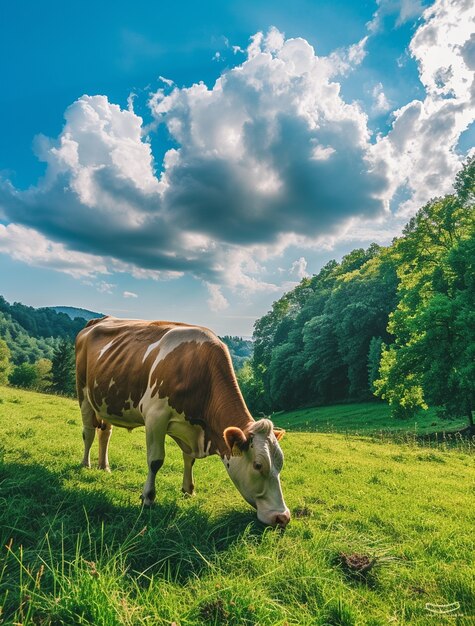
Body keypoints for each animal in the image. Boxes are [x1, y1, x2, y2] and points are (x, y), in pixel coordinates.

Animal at [75, 316, 290, 528]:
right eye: (258, 465)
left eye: (280, 463)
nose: (283, 517)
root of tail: (98, 320)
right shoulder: (155, 416)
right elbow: (155, 460)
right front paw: (148, 498)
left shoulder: (190, 429)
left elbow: (189, 459)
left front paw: (188, 489)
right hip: (83, 393)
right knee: (89, 432)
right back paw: (86, 464)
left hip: (106, 402)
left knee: (105, 433)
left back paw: (104, 466)